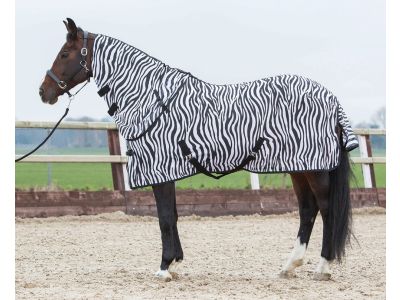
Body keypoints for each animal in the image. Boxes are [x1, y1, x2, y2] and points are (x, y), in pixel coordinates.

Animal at [39, 18, 354, 282]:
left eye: (65, 54)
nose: (43, 92)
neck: (151, 99)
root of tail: (331, 98)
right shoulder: (166, 172)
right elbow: (174, 215)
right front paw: (176, 263)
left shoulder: (160, 170)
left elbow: (165, 218)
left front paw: (164, 268)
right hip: (299, 167)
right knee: (307, 209)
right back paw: (289, 266)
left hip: (315, 169)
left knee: (326, 209)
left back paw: (323, 267)